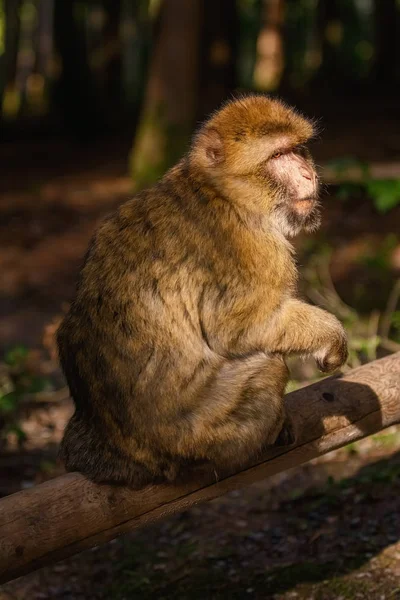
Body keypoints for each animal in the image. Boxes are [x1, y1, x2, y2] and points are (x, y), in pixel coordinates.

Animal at [56, 94, 346, 488]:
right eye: (278, 155)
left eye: (298, 149)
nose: (308, 174)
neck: (221, 191)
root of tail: (116, 451)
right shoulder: (253, 247)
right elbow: (242, 328)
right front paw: (332, 338)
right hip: (199, 432)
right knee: (268, 368)